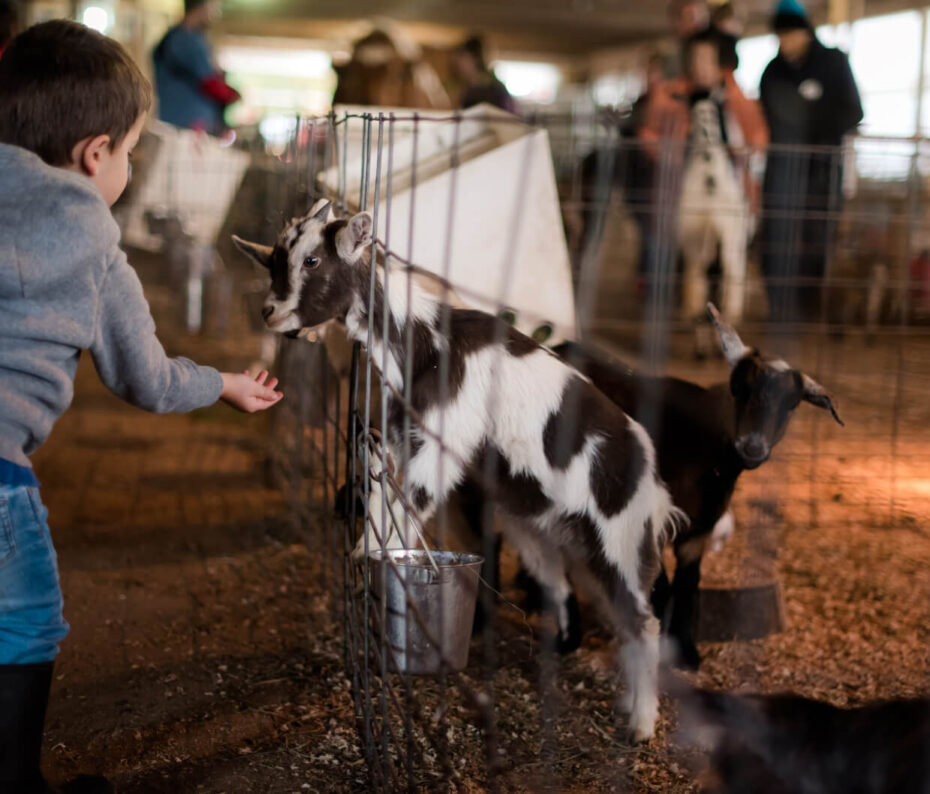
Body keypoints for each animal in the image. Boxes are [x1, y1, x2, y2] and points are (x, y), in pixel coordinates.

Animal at [232, 200, 680, 744]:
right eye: (275, 259)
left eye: (313, 260)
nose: (270, 312)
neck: (424, 340)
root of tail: (652, 476)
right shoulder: (400, 436)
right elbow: (384, 493)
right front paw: (365, 551)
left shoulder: (441, 444)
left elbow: (409, 509)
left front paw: (381, 565)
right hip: (539, 525)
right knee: (570, 590)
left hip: (622, 537)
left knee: (641, 621)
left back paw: (641, 722)